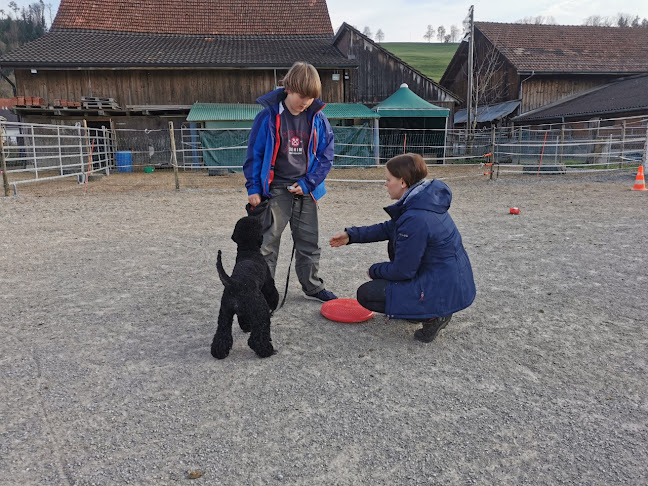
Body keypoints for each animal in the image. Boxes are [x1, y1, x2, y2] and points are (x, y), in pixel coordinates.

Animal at [210, 215, 276, 356]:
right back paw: (266, 350)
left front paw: (246, 326)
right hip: (261, 312)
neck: (248, 250)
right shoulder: (268, 283)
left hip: (225, 314)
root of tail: (235, 283)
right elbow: (273, 293)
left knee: (222, 335)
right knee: (257, 337)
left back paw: (219, 352)